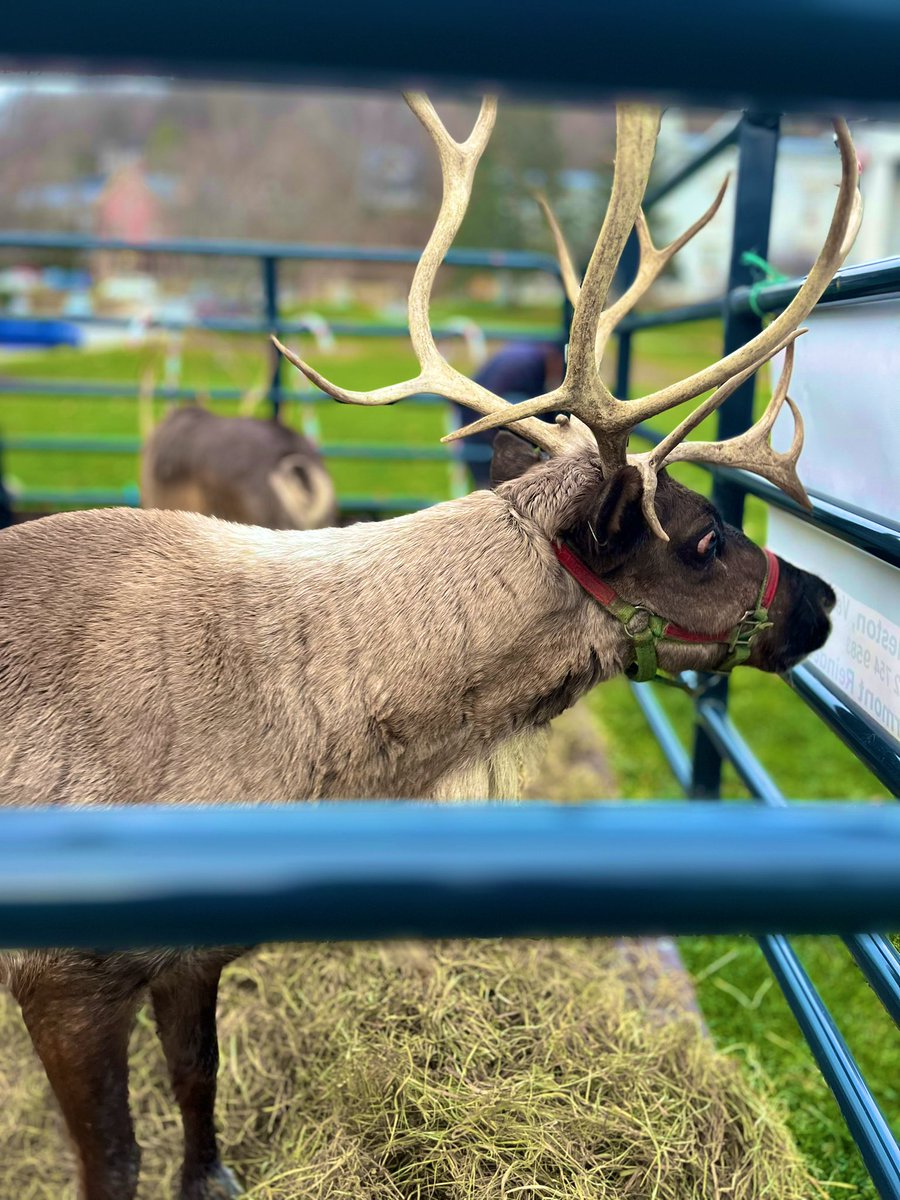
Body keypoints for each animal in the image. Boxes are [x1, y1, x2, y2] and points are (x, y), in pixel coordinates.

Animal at [0, 93, 860, 1200]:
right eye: (706, 537)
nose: (824, 598)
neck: (282, 749)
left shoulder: (193, 956)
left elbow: (198, 1083)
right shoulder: (61, 979)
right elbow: (112, 1162)